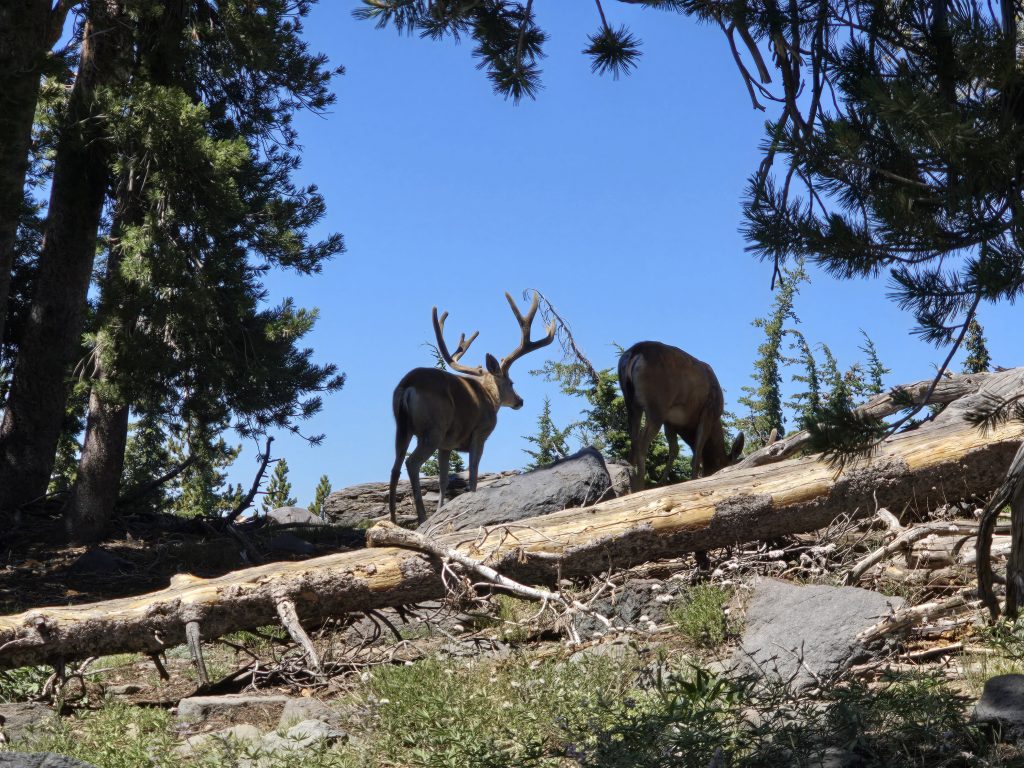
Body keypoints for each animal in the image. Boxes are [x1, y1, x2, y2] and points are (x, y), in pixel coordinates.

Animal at [389, 292, 556, 524]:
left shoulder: (447, 445)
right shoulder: (480, 433)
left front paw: (442, 510)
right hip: (434, 428)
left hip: (402, 426)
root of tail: (408, 386)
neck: (489, 398)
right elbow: (473, 474)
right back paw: (421, 517)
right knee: (411, 463)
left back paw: (393, 519)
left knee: (395, 466)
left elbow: (443, 480)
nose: (520, 401)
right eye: (511, 382)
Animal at [618, 341, 744, 492]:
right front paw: (693, 479)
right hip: (656, 404)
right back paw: (640, 485)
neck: (688, 428)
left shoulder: (670, 422)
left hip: (631, 403)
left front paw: (662, 482)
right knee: (642, 442)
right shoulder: (708, 412)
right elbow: (697, 451)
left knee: (633, 439)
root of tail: (635, 352)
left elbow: (675, 449)